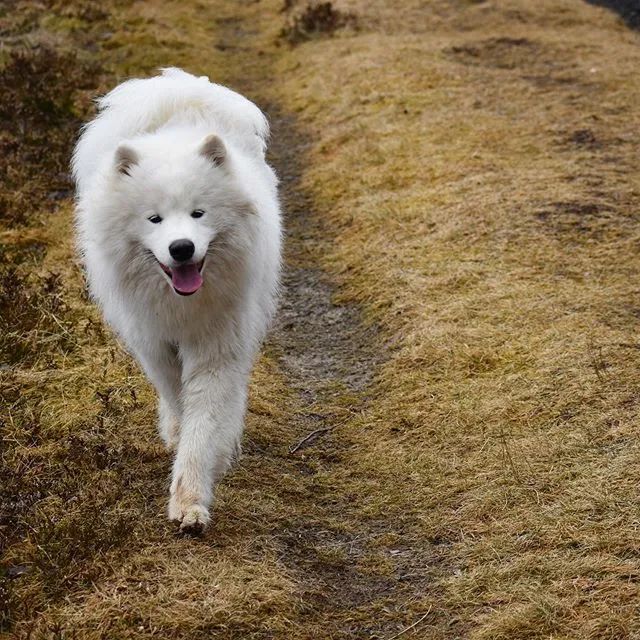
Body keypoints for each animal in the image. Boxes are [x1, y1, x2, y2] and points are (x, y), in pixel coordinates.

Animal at [72, 67, 280, 532]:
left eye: (199, 213)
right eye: (154, 219)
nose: (182, 248)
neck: (182, 304)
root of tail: (183, 94)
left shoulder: (217, 347)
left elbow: (203, 422)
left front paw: (191, 500)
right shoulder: (155, 343)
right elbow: (178, 401)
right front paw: (181, 443)